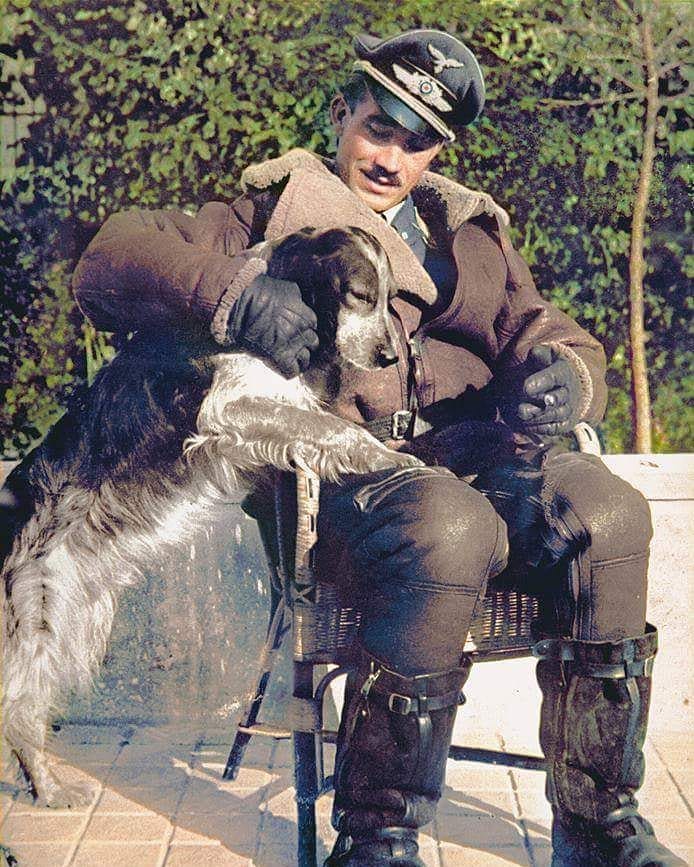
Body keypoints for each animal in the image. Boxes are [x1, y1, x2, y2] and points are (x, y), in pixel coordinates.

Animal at [2, 225, 422, 808]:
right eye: (360, 295)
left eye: (390, 298)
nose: (388, 356)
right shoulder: (228, 408)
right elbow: (339, 429)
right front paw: (395, 458)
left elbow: (322, 429)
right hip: (41, 615)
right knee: (17, 710)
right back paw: (50, 790)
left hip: (77, 618)